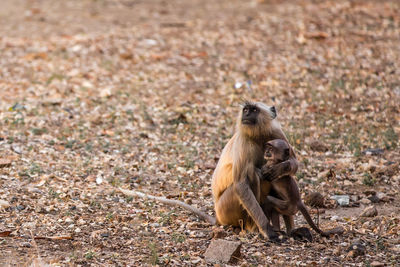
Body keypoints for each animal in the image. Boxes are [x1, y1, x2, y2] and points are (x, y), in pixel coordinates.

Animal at [211, 101, 298, 242]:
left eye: (254, 110)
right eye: (246, 110)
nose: (246, 114)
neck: (258, 135)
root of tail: (217, 217)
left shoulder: (276, 132)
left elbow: (294, 163)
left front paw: (279, 168)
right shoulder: (243, 141)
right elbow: (240, 184)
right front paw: (268, 231)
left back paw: (291, 231)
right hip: (225, 209)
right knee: (253, 173)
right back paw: (254, 228)